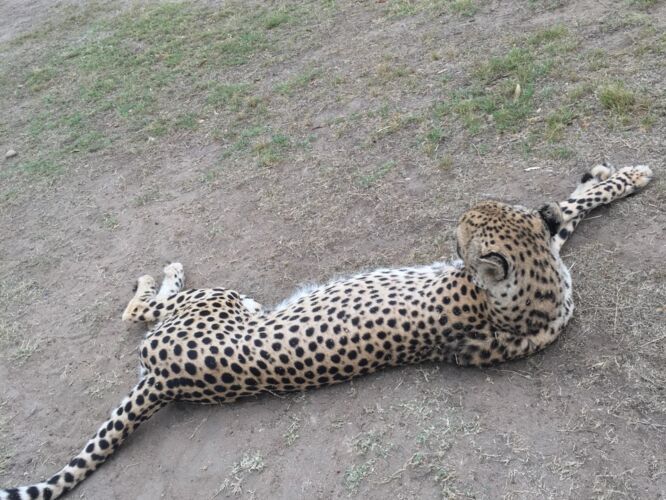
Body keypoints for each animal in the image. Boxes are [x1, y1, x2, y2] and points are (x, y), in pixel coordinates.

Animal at [0, 163, 653, 500]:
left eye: (466, 229)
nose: (452, 224)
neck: (528, 302)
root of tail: (164, 382)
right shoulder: (545, 253)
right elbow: (570, 208)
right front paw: (622, 172)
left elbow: (569, 209)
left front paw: (618, 175)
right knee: (142, 312)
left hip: (217, 303)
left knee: (141, 311)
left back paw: (162, 272)